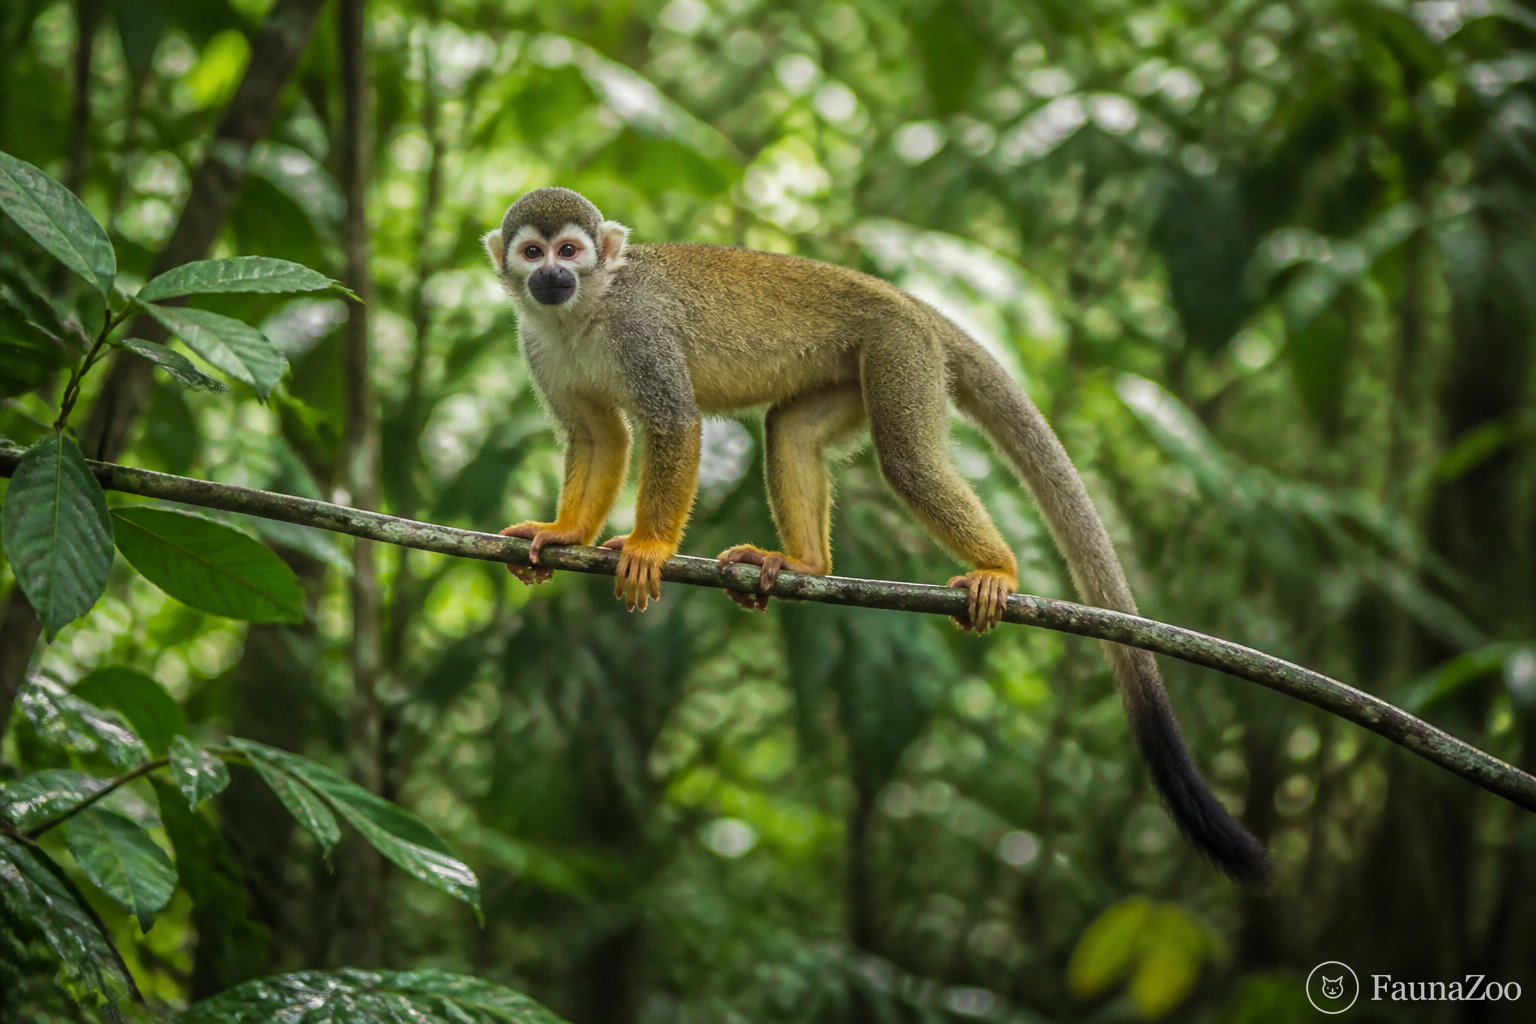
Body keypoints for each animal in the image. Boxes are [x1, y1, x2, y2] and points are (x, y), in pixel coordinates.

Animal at [482, 187, 1270, 887]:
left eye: (570, 250)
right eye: (532, 252)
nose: (551, 276)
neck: (584, 311)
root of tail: (910, 303)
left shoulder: (641, 331)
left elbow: (673, 426)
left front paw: (649, 547)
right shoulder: (537, 345)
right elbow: (597, 435)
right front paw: (563, 532)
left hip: (899, 355)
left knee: (909, 461)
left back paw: (998, 569)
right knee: (791, 429)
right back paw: (806, 562)